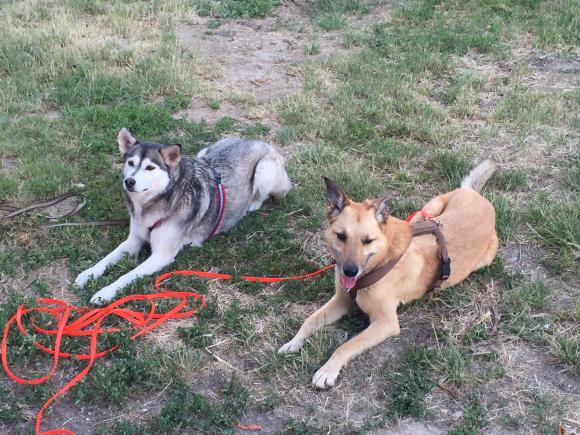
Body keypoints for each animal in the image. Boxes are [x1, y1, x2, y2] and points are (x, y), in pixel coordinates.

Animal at [76, 127, 292, 304]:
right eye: (130, 162)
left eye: (150, 167)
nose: (129, 181)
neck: (152, 205)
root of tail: (258, 141)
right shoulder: (135, 239)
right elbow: (107, 258)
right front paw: (88, 274)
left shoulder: (162, 255)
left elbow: (128, 275)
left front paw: (104, 293)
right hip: (204, 152)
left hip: (265, 170)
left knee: (261, 196)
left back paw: (251, 205)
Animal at [280, 161, 498, 392]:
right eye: (341, 236)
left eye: (368, 240)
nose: (349, 271)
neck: (381, 261)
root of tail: (476, 195)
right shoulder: (341, 300)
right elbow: (310, 320)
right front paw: (294, 342)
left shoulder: (385, 323)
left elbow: (346, 345)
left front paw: (328, 370)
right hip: (425, 213)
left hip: (481, 258)